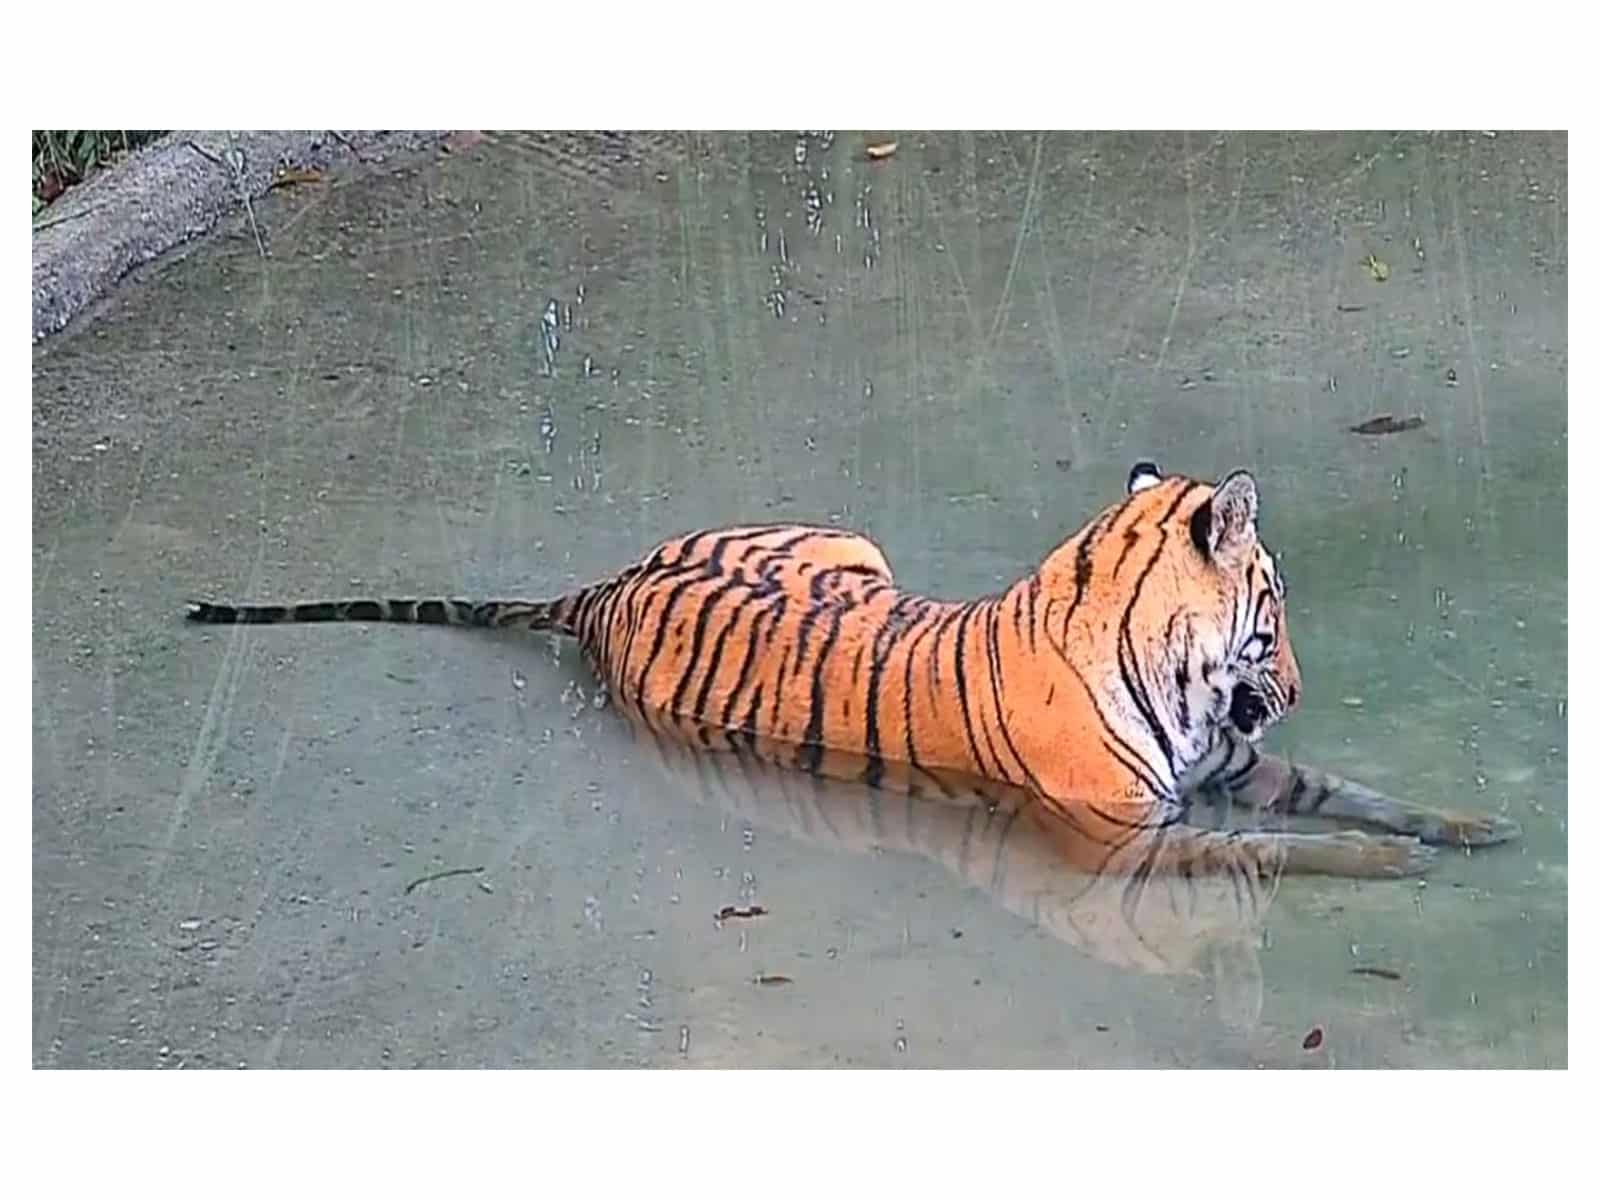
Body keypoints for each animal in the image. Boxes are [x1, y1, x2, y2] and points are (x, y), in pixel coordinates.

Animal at [186, 461, 1520, 880]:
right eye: (1274, 609)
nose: (1294, 688)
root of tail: (608, 586)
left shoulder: (1231, 764)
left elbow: (1352, 793)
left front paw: (1470, 828)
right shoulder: (1131, 837)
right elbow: (1295, 847)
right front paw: (1389, 867)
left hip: (852, 543)